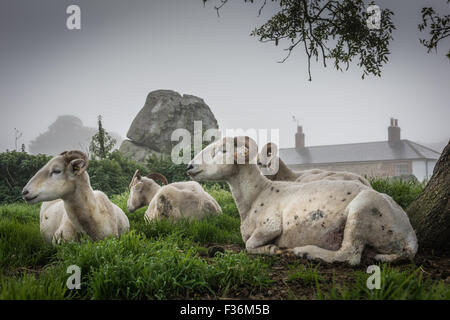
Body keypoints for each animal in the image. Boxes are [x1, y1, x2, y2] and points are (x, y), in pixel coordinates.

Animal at [186, 137, 418, 264]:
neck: (257, 193)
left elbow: (249, 244)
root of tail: (409, 235)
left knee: (349, 255)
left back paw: (305, 252)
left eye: (223, 150)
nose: (189, 166)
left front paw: (272, 250)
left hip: (362, 210)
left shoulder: (271, 225)